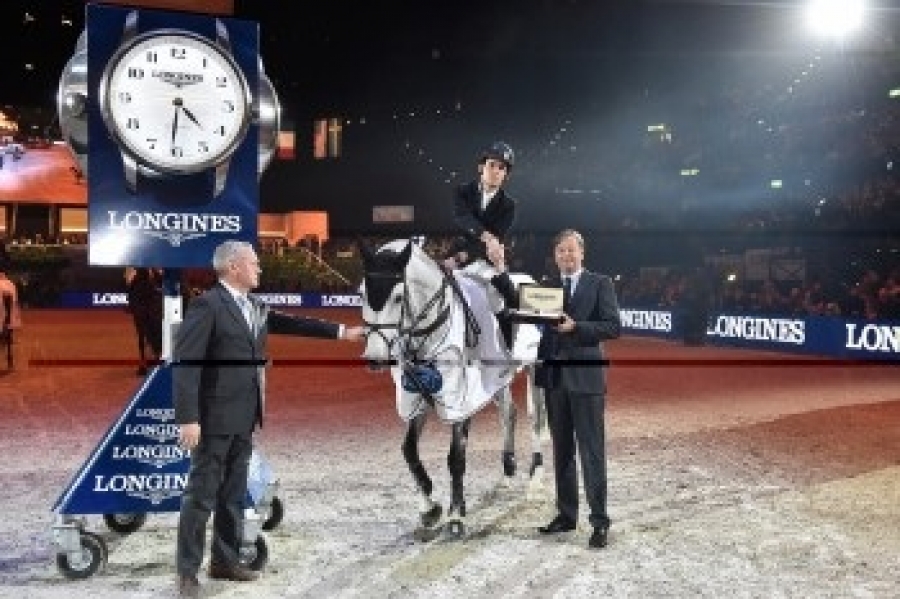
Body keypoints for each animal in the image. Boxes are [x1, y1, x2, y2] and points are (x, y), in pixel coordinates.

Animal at [356, 239, 540, 540]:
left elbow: (456, 458)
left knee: (537, 420)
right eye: (361, 293)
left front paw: (455, 516)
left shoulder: (460, 402)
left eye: (398, 297)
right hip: (498, 379)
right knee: (509, 413)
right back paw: (508, 470)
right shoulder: (417, 398)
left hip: (536, 372)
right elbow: (409, 451)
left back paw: (536, 474)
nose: (376, 358)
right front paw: (429, 509)